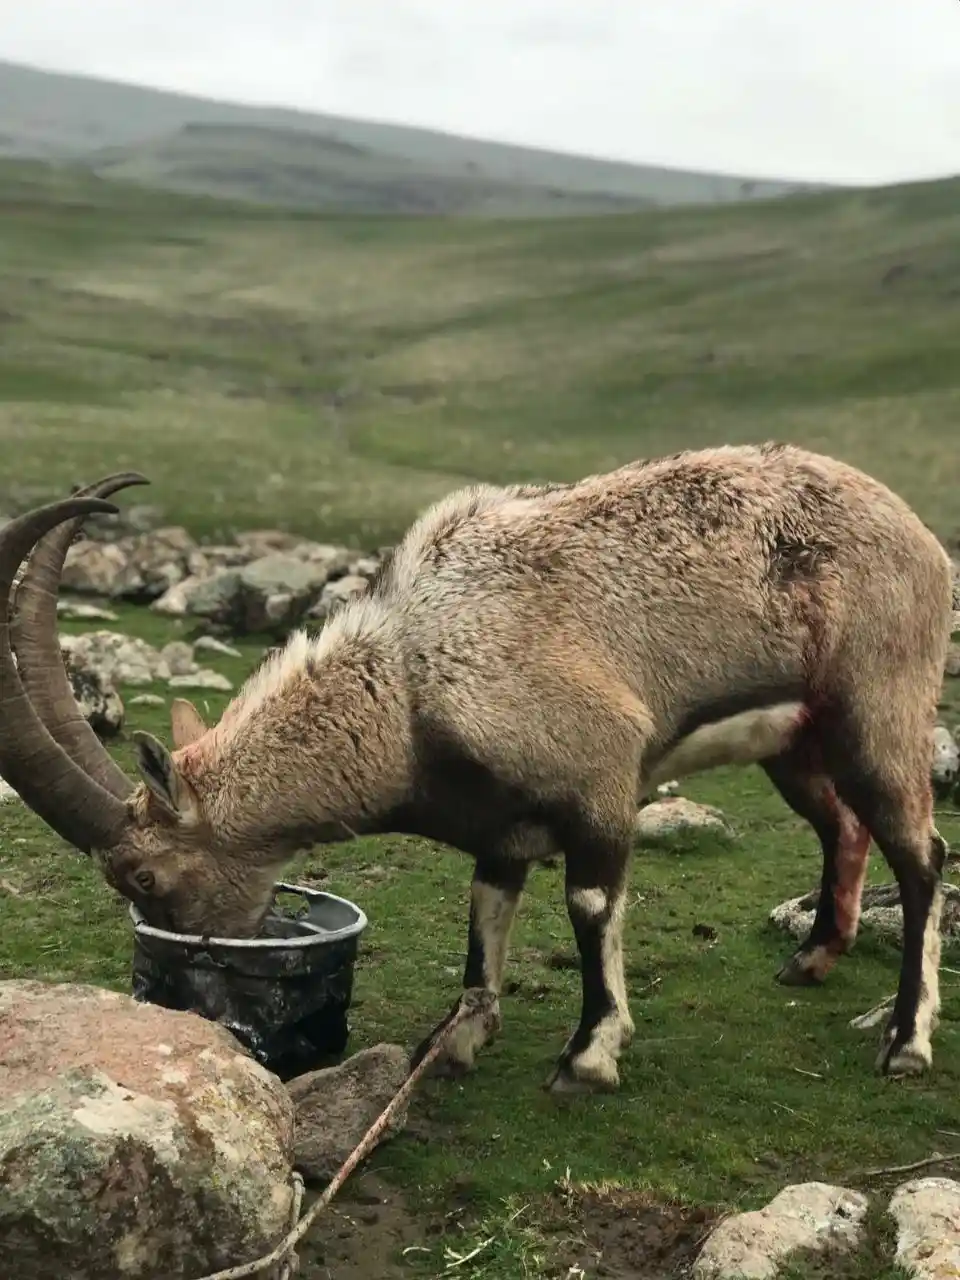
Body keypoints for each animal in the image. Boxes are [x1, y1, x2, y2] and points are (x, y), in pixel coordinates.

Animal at [0, 448, 957, 1090]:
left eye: (144, 877)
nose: (178, 1002)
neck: (410, 688)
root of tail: (922, 541)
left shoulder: (600, 776)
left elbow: (590, 904)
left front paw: (589, 1056)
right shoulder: (503, 824)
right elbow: (486, 911)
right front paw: (457, 1038)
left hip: (879, 708)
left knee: (921, 854)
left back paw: (906, 1041)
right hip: (797, 743)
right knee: (842, 827)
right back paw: (814, 958)